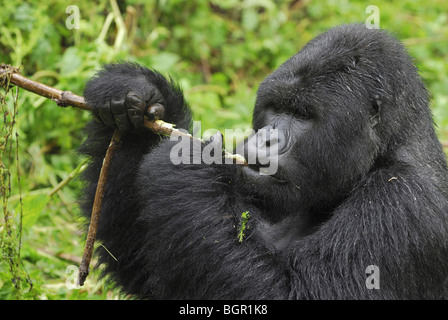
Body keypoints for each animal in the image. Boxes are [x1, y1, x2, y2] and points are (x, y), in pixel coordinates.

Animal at [79, 23, 448, 298]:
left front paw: (184, 167)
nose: (267, 138)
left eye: (302, 115)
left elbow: (293, 293)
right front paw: (136, 94)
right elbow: (143, 270)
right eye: (276, 107)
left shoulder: (401, 204)